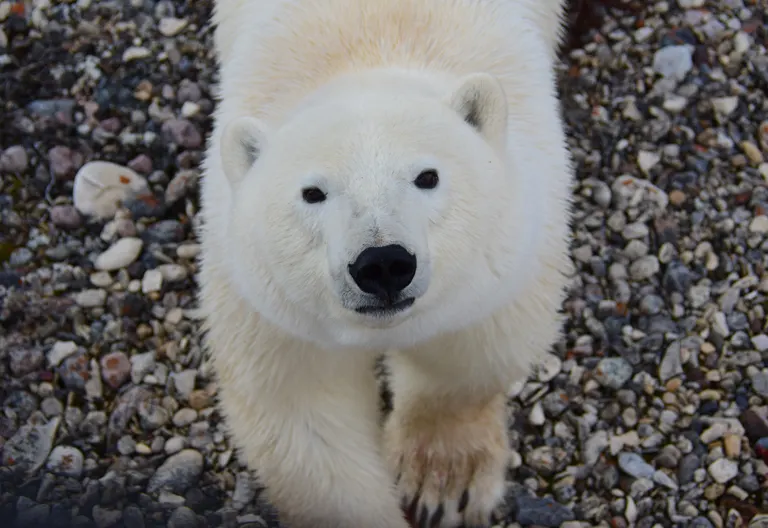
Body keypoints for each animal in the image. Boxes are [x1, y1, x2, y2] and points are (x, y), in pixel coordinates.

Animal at [196, 0, 574, 527]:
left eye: (428, 176)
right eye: (312, 192)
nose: (383, 263)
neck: (368, 52)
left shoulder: (509, 257)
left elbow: (470, 359)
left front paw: (442, 486)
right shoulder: (269, 306)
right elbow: (305, 417)